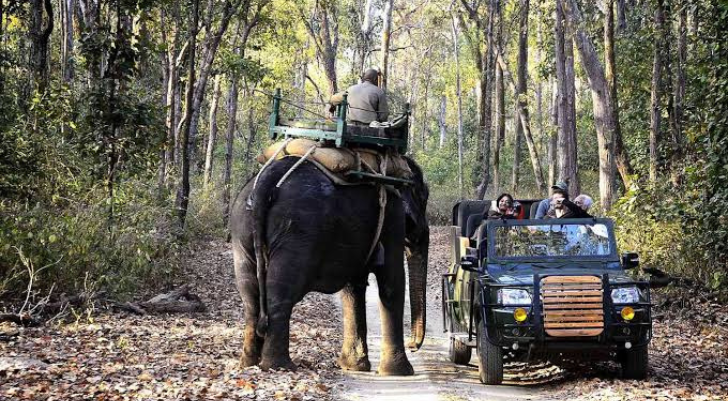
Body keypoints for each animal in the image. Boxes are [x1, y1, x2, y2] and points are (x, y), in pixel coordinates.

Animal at [229, 155, 429, 376]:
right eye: (424, 198)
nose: (413, 345)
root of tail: (267, 179)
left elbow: (353, 287)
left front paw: (353, 367)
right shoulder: (393, 216)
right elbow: (392, 281)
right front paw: (399, 372)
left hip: (242, 229)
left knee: (250, 295)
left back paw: (249, 363)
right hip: (298, 231)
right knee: (280, 293)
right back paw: (279, 366)